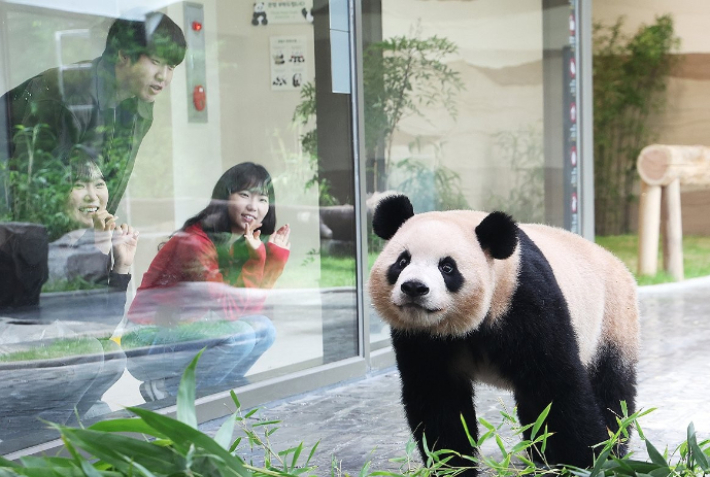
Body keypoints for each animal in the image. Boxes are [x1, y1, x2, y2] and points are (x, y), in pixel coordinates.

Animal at [368, 194, 639, 475]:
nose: (414, 287)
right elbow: (436, 397)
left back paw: (612, 446)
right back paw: (540, 452)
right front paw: (451, 465)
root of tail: (615, 260)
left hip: (612, 318)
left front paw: (590, 461)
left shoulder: (525, 299)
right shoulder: (421, 338)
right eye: (402, 262)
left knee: (611, 388)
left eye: (447, 267)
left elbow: (556, 385)